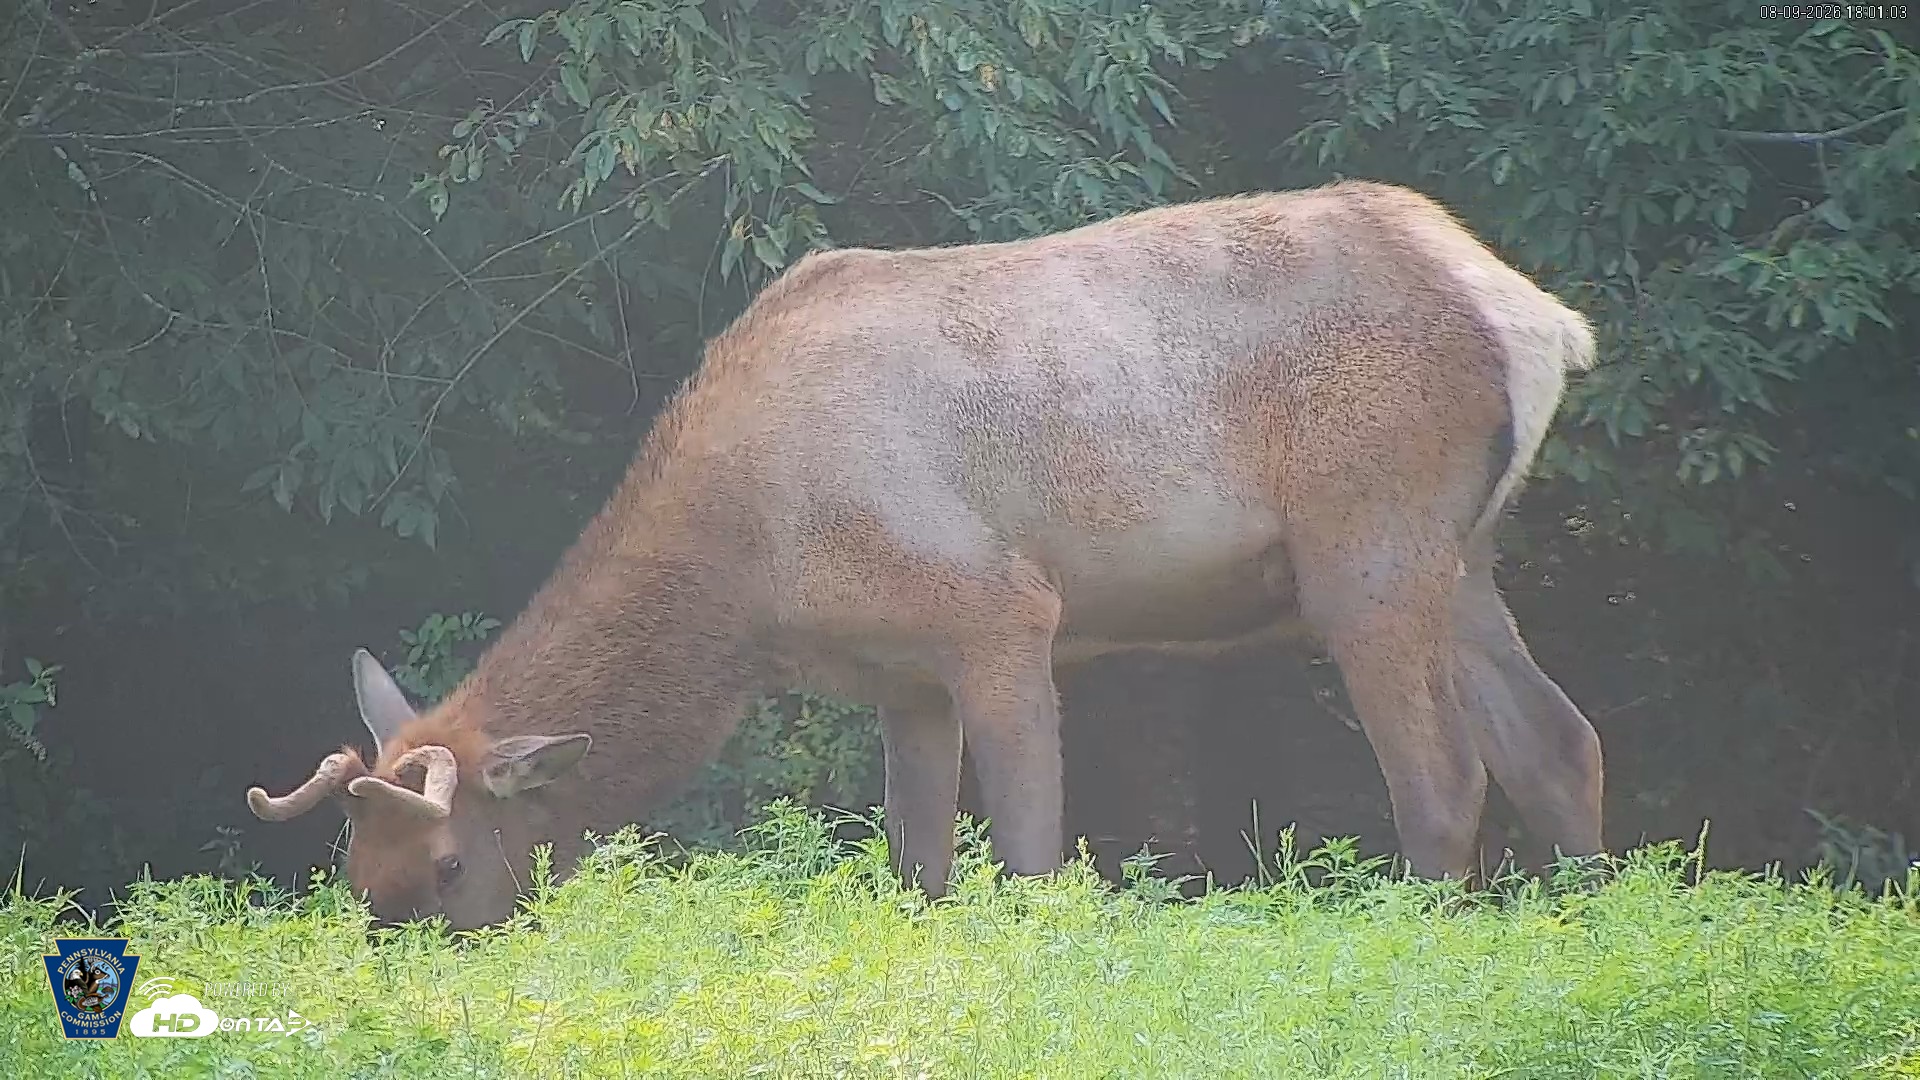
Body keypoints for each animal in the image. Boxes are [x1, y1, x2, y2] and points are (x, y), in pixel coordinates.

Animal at [245, 180, 1603, 930]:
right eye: (354, 872)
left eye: (448, 861)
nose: (401, 951)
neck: (753, 584)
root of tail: (1538, 319)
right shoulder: (903, 681)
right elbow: (919, 871)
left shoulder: (1000, 611)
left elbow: (1034, 859)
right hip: (1465, 555)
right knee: (1559, 741)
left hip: (1366, 542)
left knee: (1445, 777)